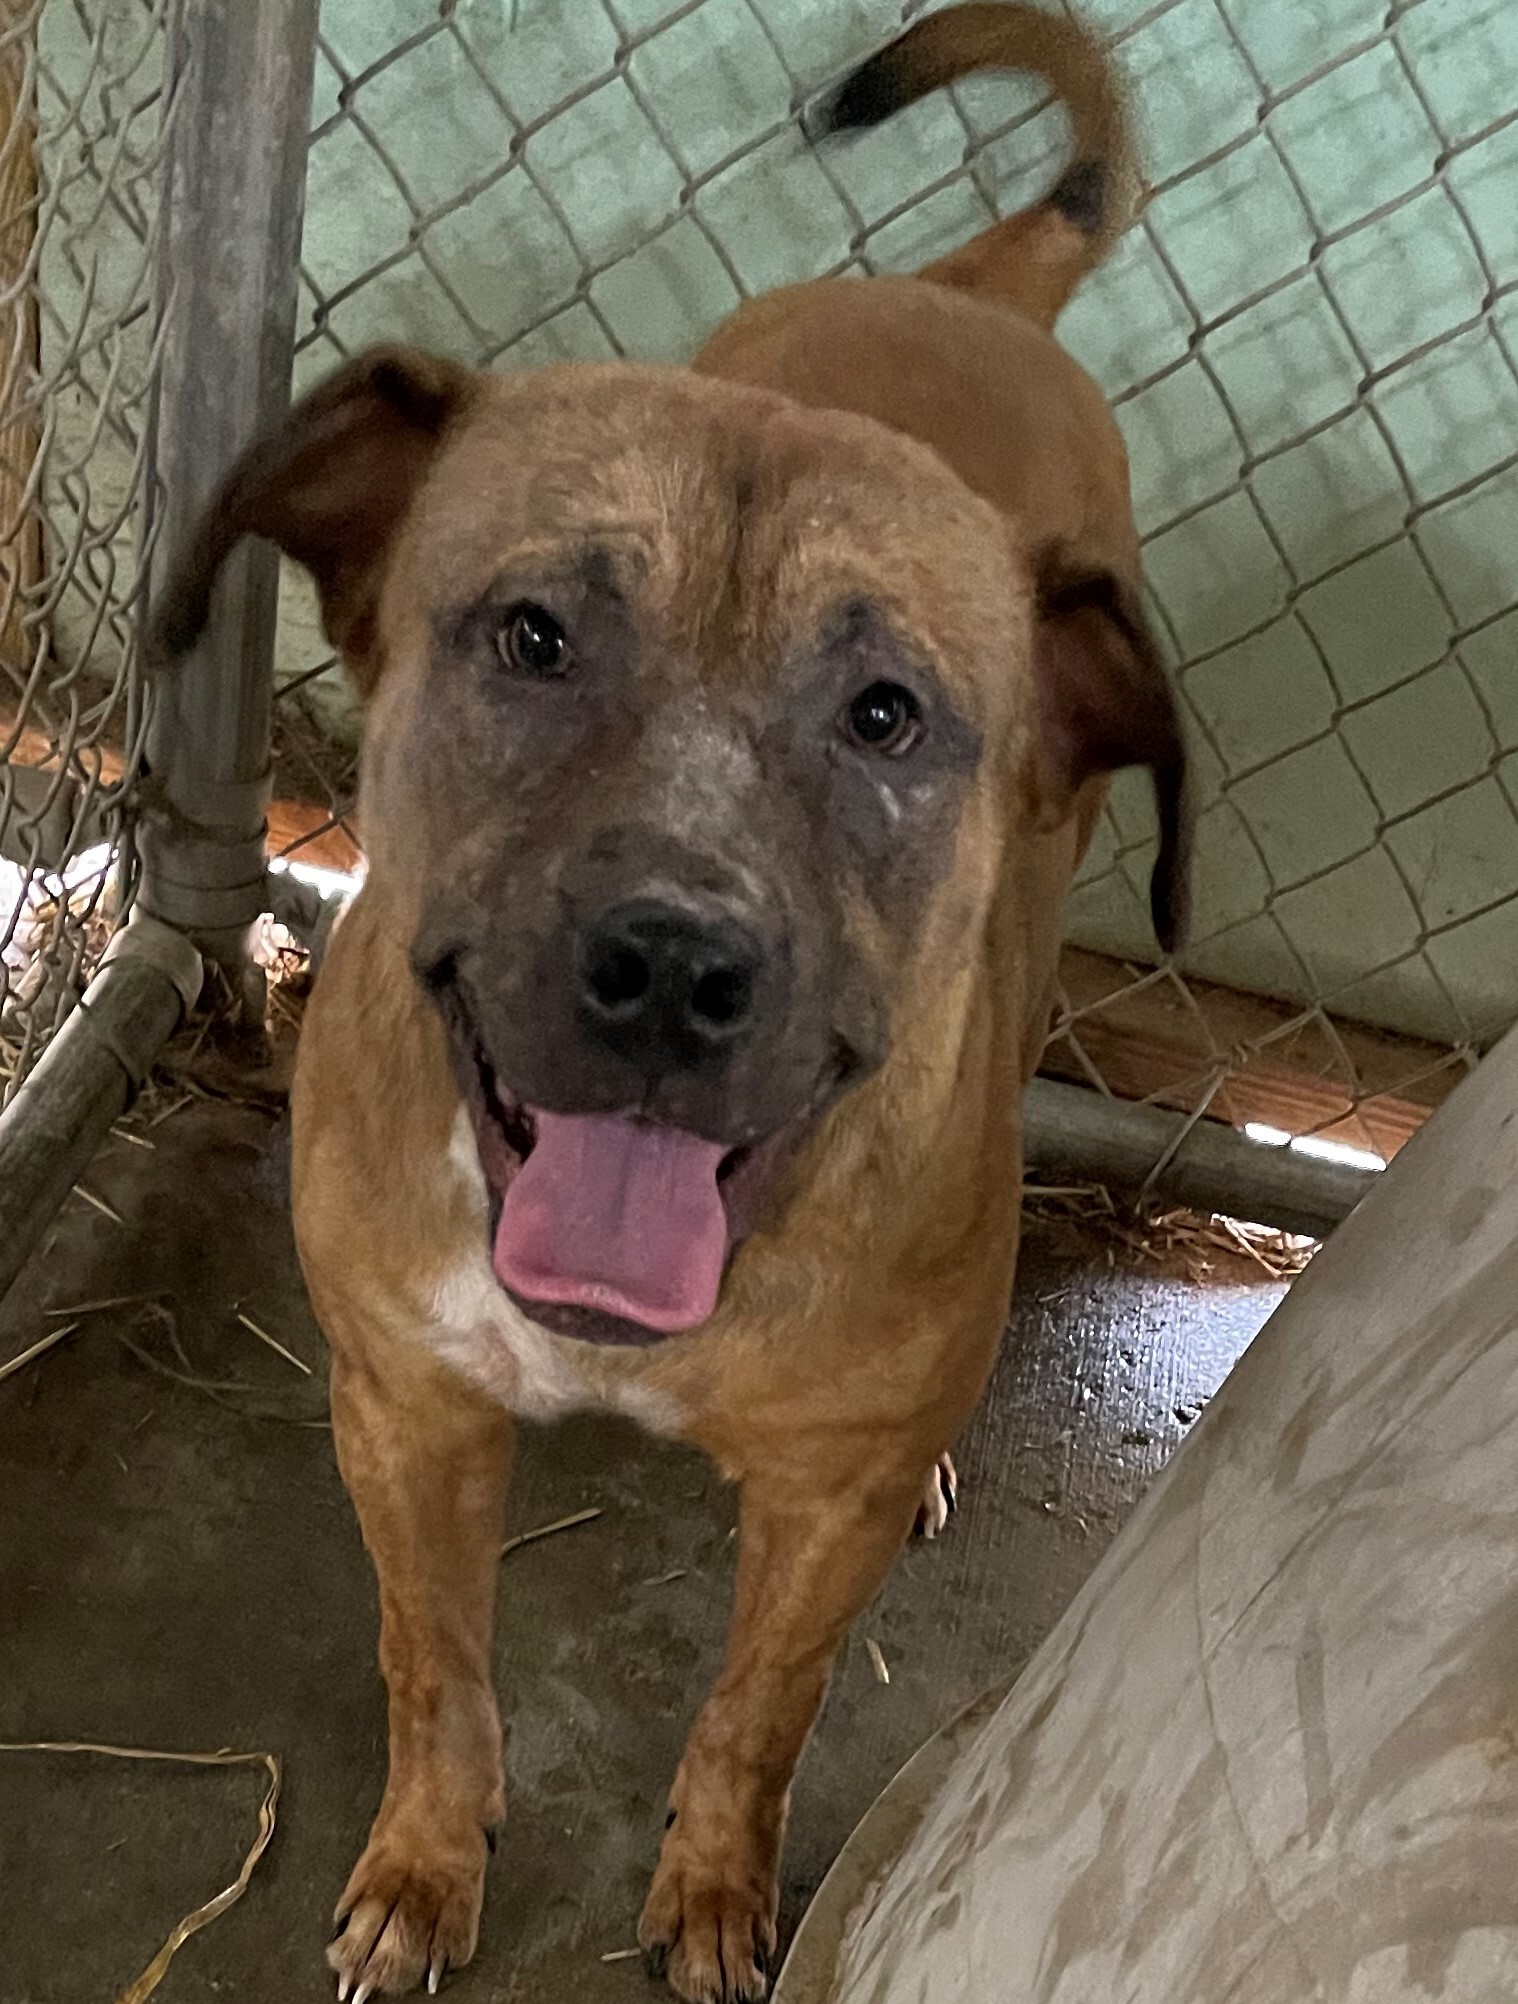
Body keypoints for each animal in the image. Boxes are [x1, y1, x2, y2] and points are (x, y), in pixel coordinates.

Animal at [154, 3, 1187, 2004]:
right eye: (532, 635)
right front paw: (426, 1856)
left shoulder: (818, 1517)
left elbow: (757, 1712)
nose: (671, 965)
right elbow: (431, 1665)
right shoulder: (402, 1410)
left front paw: (715, 1884)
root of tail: (968, 295)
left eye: (888, 714)